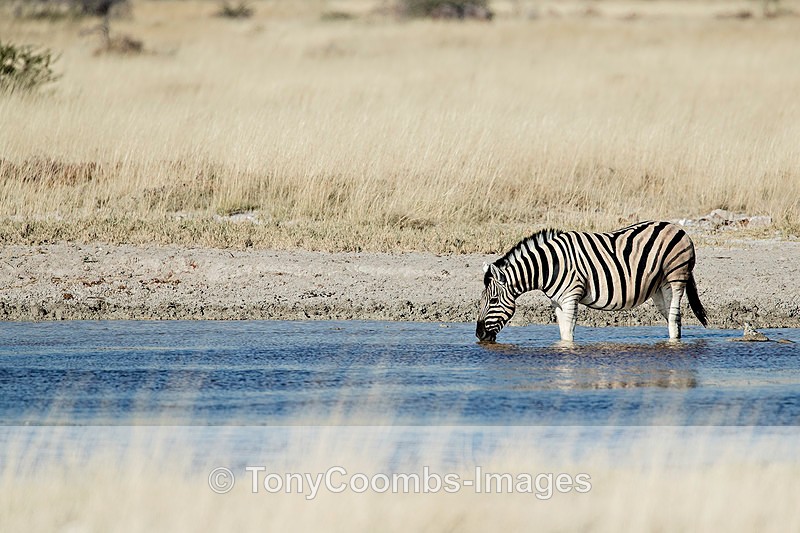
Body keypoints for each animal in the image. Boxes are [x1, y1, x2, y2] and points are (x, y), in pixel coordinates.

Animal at [476, 221, 708, 343]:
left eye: (493, 301)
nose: (479, 335)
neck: (549, 266)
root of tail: (678, 228)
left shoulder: (571, 297)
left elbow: (569, 332)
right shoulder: (557, 301)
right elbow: (563, 332)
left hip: (675, 277)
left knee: (674, 317)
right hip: (659, 287)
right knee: (672, 318)